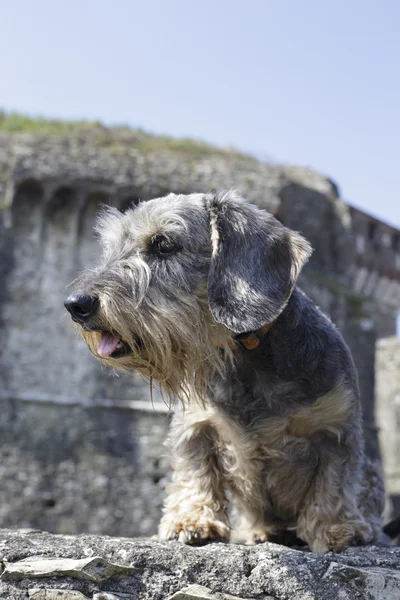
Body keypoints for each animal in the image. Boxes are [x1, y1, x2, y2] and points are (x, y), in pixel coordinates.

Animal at [65, 192, 388, 552]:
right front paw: (192, 519)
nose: (75, 304)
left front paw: (335, 529)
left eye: (163, 244)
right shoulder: (195, 425)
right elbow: (195, 473)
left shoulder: (337, 427)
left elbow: (334, 482)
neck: (246, 357)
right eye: (111, 247)